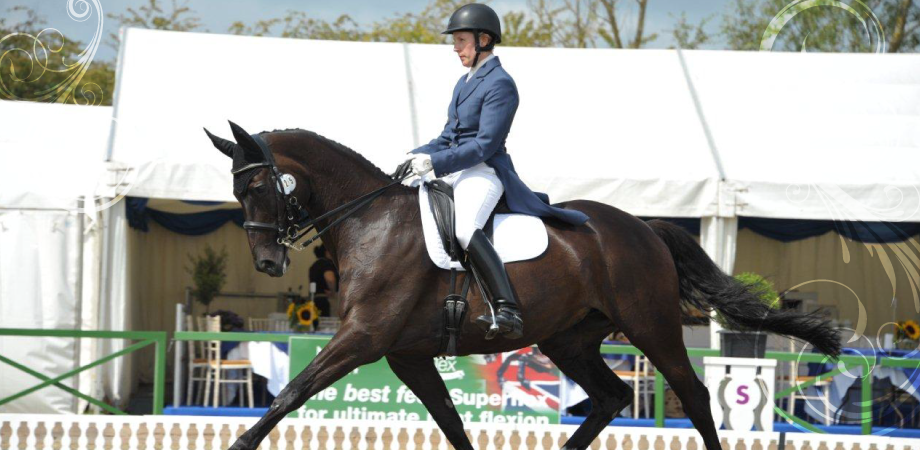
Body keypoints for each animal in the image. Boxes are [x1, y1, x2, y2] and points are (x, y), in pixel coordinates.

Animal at [204, 122, 841, 450]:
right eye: (236, 192)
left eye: (257, 188)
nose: (268, 262)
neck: (370, 219)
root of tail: (645, 227)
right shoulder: (406, 352)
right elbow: (450, 420)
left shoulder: (364, 337)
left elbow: (289, 394)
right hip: (570, 339)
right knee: (611, 396)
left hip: (651, 325)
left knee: (695, 394)